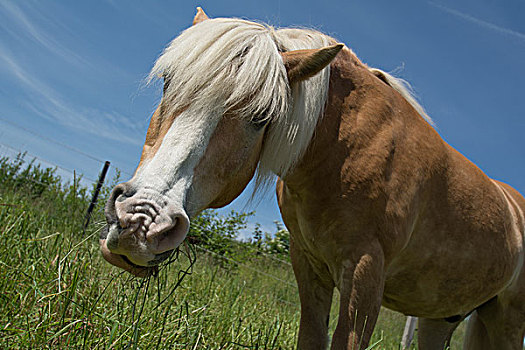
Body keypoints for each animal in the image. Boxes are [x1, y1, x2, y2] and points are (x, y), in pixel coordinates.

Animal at [100, 8, 520, 350]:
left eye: (261, 117)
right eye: (167, 83)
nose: (141, 222)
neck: (345, 151)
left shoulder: (365, 271)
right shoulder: (308, 263)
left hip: (507, 322)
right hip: (440, 317)